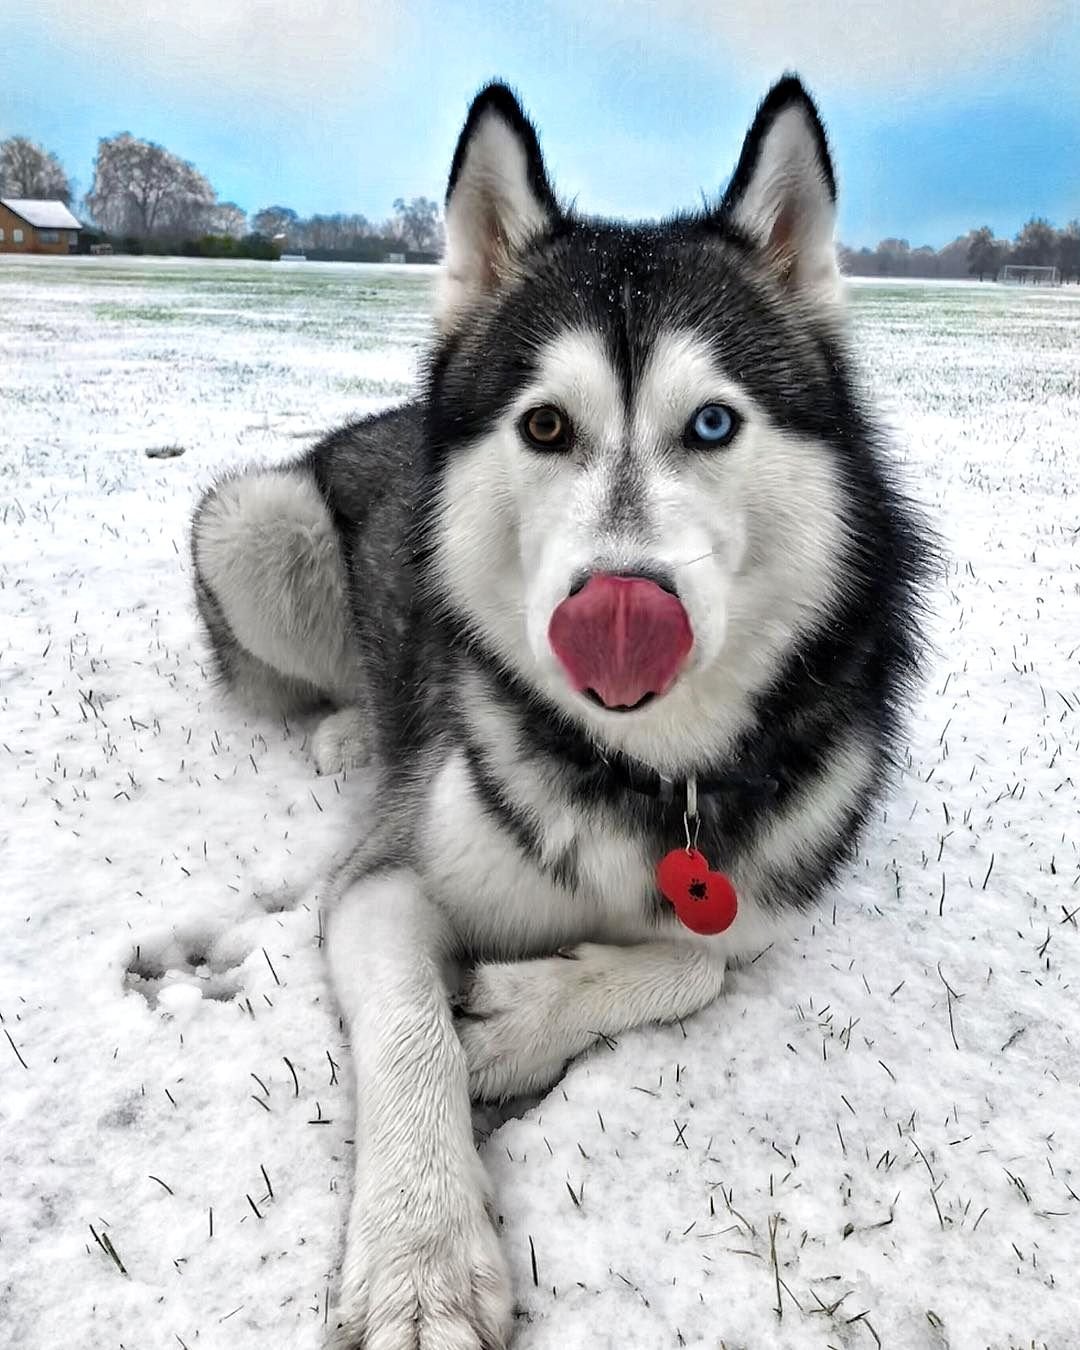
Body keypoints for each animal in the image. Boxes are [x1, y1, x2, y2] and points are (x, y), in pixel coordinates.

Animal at [187, 76, 928, 1350]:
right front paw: (422, 1260)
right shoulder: (388, 878)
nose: (618, 609)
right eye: (544, 426)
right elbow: (411, 1029)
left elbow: (698, 959)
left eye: (713, 424)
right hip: (253, 520)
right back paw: (350, 728)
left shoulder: (769, 893)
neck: (646, 768)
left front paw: (523, 1015)